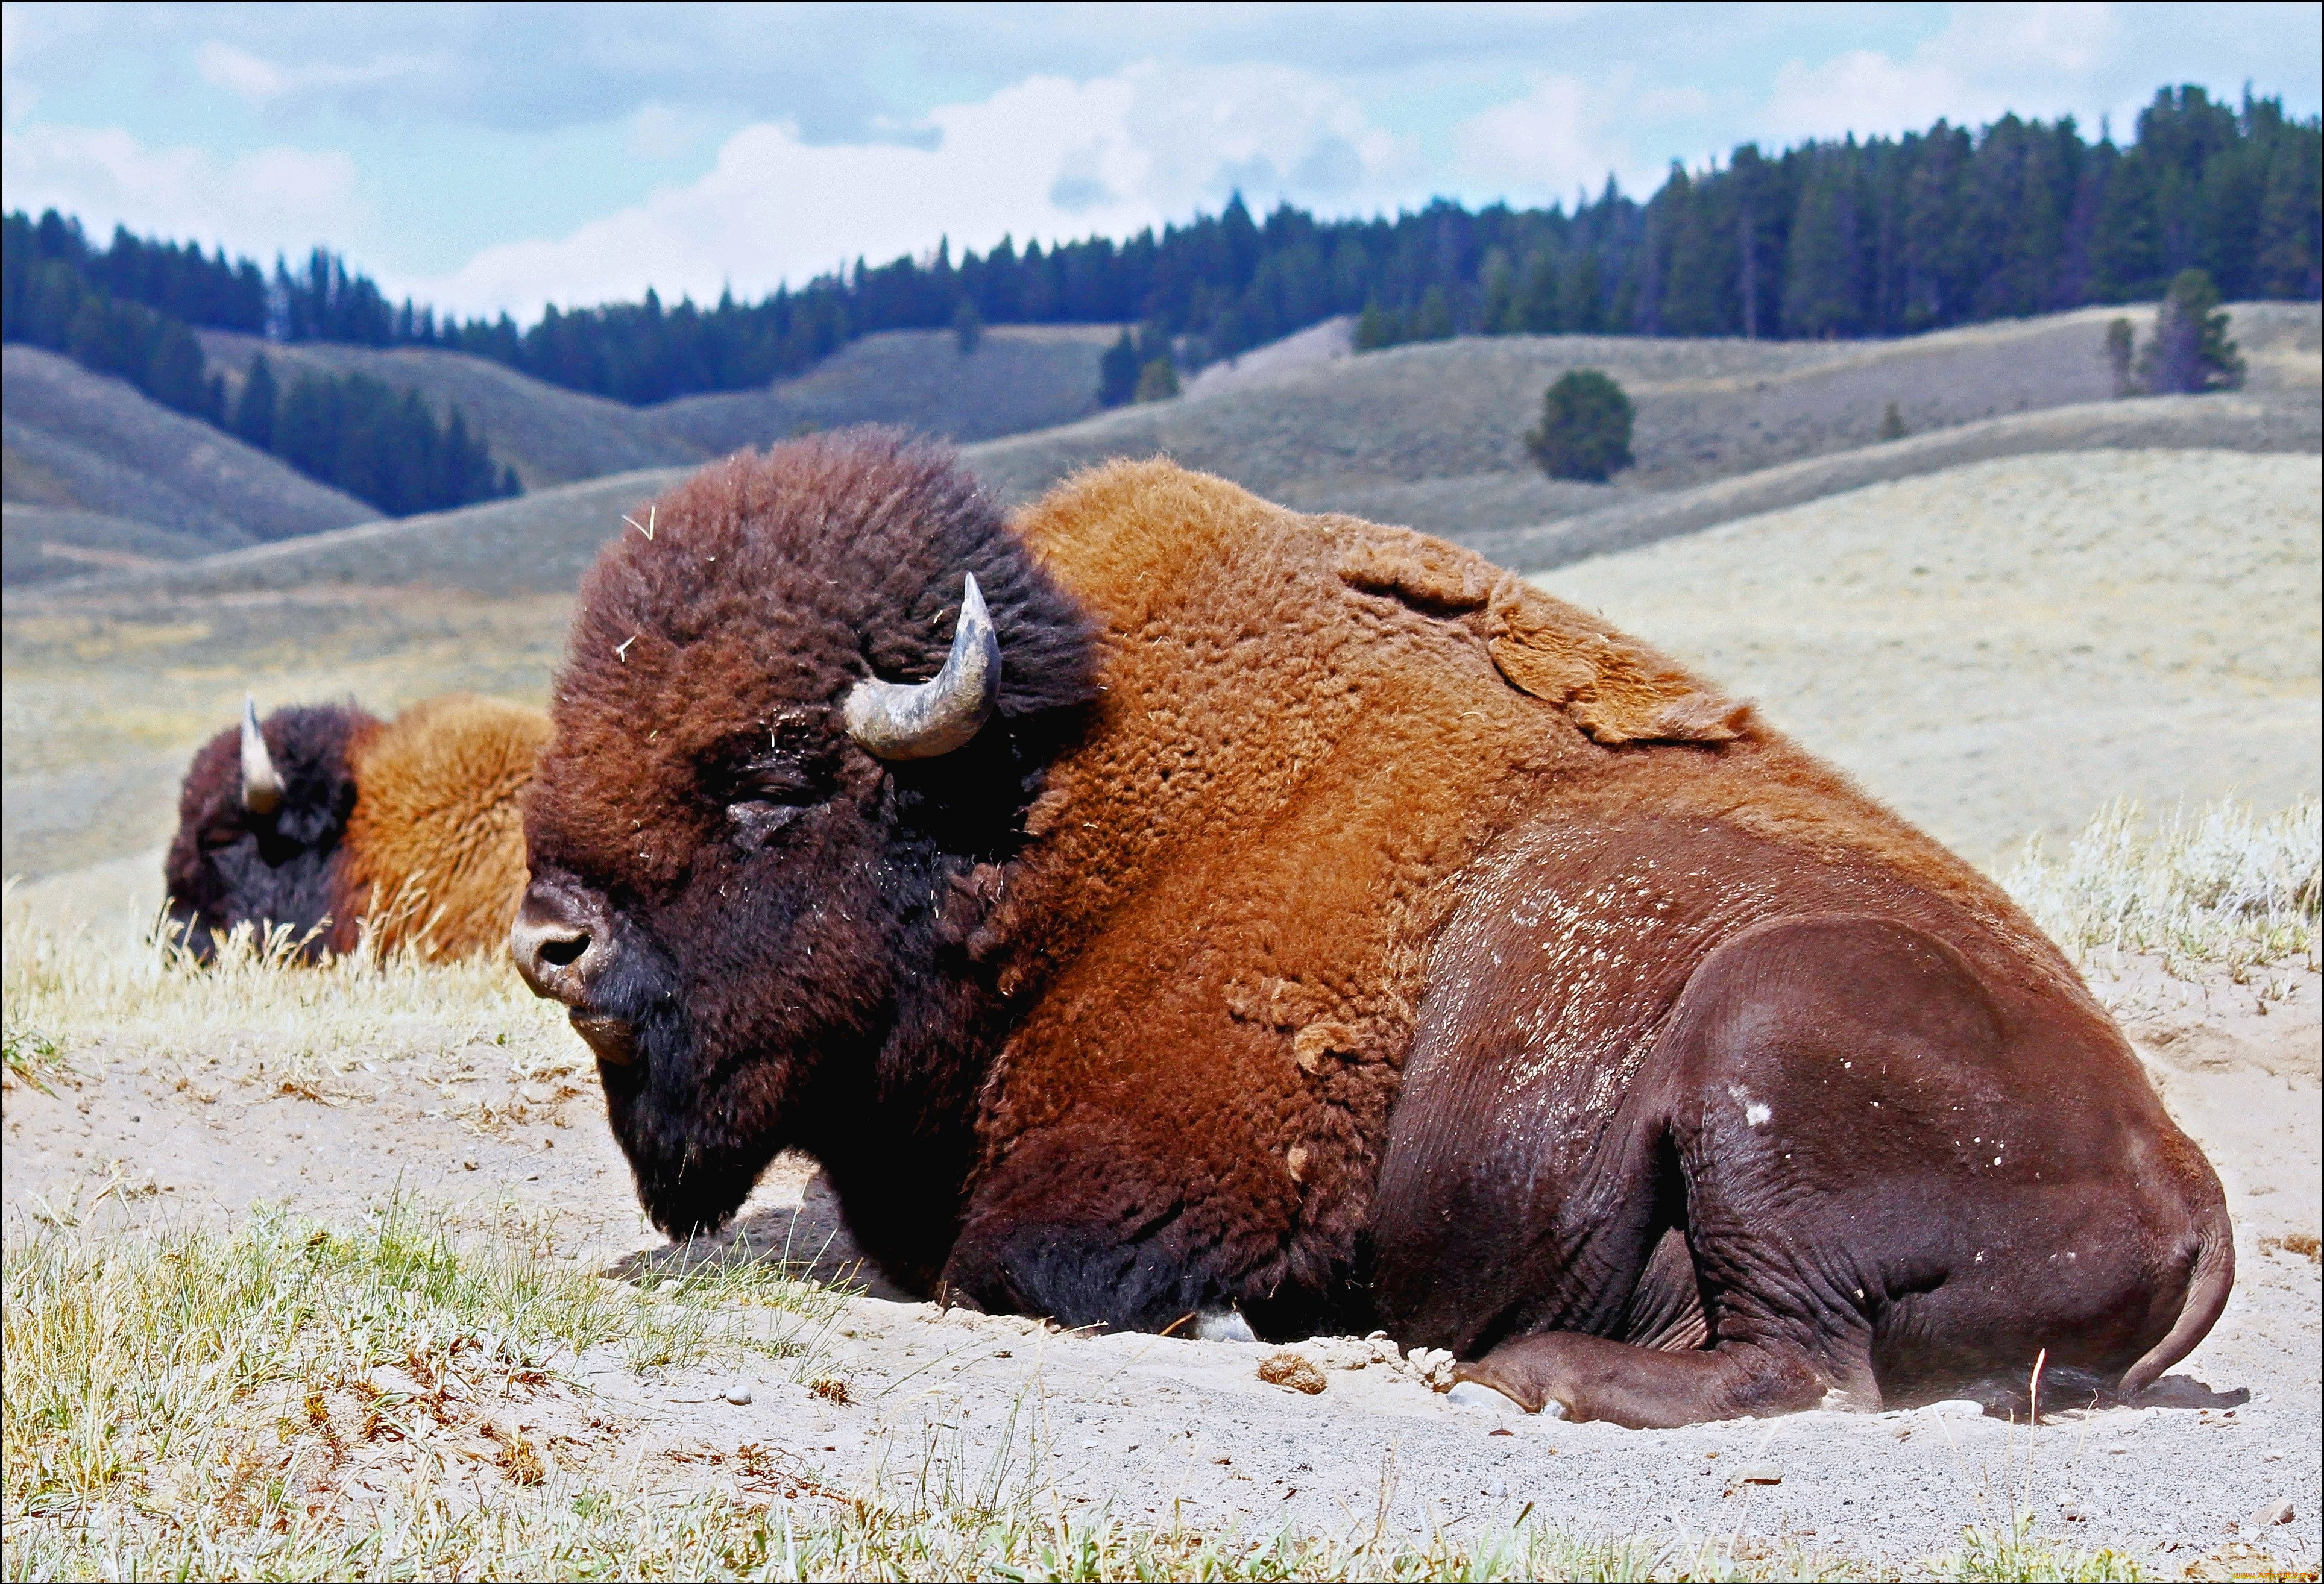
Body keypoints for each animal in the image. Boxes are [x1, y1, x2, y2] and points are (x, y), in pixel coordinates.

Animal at [513, 434, 2231, 1430]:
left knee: (1810, 1368)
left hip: (1760, 1023)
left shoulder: (1143, 1192)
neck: (1040, 816)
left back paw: (1518, 1369)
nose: (549, 942)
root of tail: (2188, 1180)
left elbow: (1022, 1269)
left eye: (771, 771)